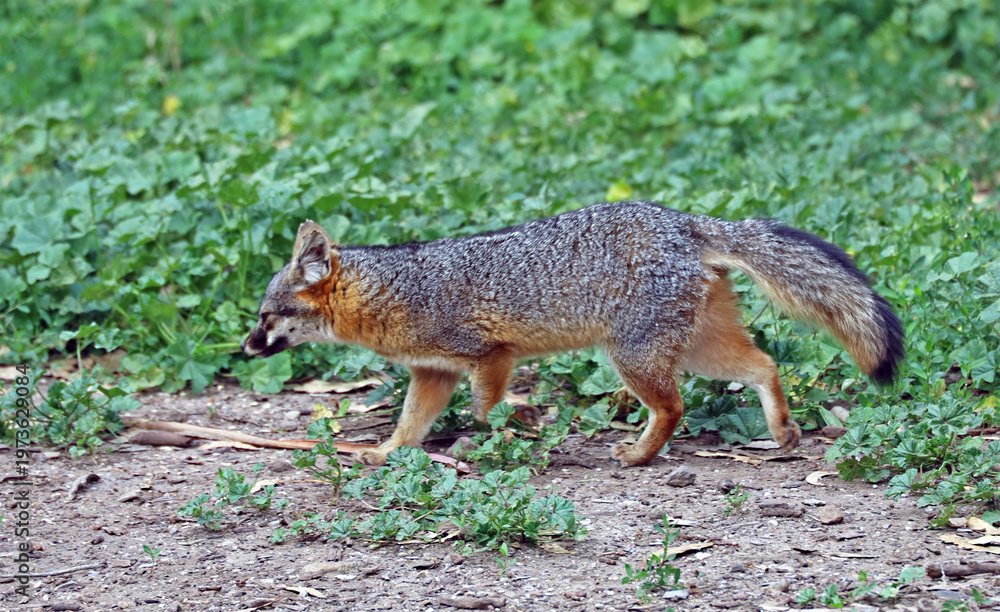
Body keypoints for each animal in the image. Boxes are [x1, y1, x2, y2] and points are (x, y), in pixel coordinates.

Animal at [242, 201, 904, 467]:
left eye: (267, 316)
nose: (247, 347)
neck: (397, 291)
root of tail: (683, 220)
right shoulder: (433, 372)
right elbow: (411, 423)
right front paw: (384, 452)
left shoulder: (491, 354)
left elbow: (483, 408)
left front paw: (520, 422)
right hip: (699, 348)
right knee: (765, 366)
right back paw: (783, 432)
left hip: (632, 356)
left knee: (674, 407)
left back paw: (638, 455)